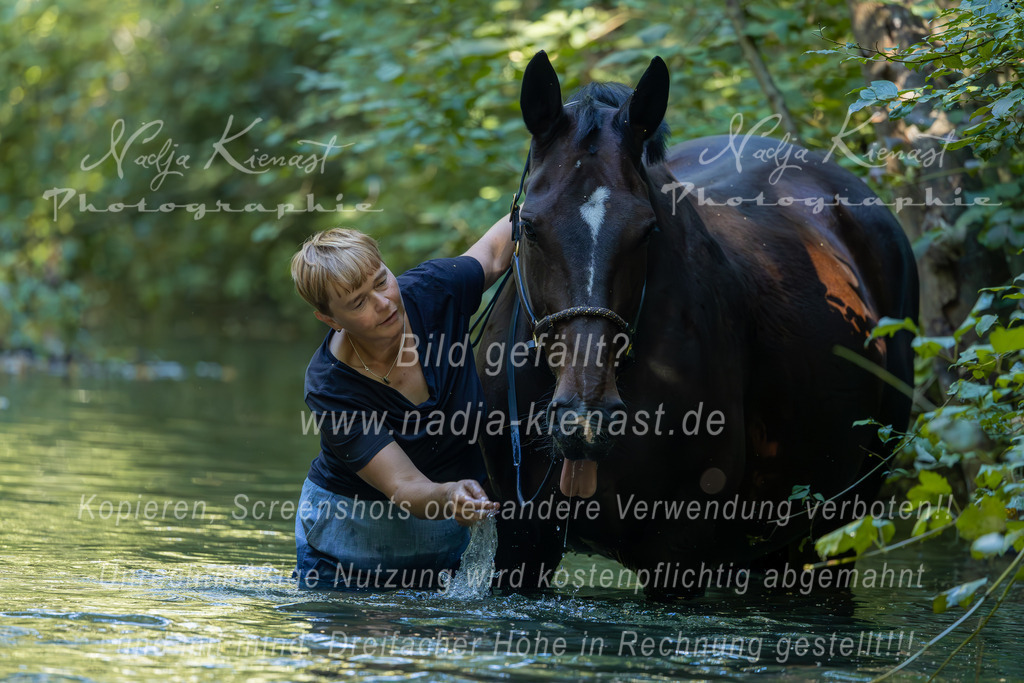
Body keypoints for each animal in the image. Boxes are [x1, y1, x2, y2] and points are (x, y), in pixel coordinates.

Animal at [475, 51, 918, 598]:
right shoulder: (522, 540)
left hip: (835, 526)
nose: (586, 417)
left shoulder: (677, 552)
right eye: (530, 225)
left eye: (647, 230)